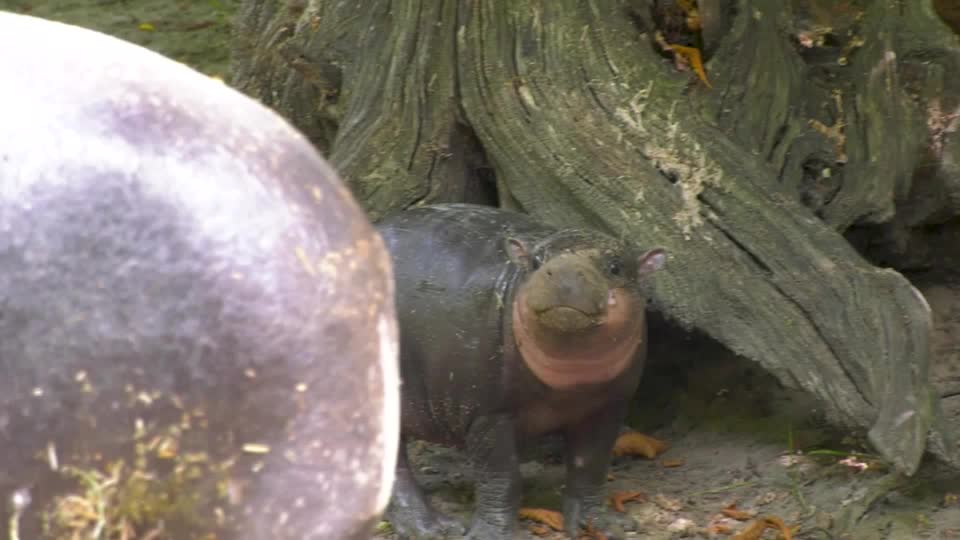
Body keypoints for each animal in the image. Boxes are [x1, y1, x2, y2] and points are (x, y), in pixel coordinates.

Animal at [376, 203, 666, 539]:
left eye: (616, 266)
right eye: (537, 261)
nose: (565, 271)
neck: (572, 379)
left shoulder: (608, 407)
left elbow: (590, 467)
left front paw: (606, 525)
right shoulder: (487, 413)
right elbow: (501, 478)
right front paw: (488, 534)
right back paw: (434, 528)